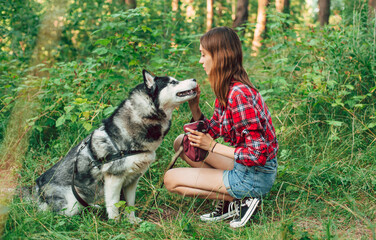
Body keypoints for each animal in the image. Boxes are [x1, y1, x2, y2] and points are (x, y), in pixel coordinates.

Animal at [34, 70, 198, 223]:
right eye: (173, 82)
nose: (195, 79)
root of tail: (37, 187)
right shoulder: (114, 179)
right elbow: (113, 205)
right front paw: (116, 224)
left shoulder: (132, 180)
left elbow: (130, 204)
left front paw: (132, 221)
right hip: (70, 204)